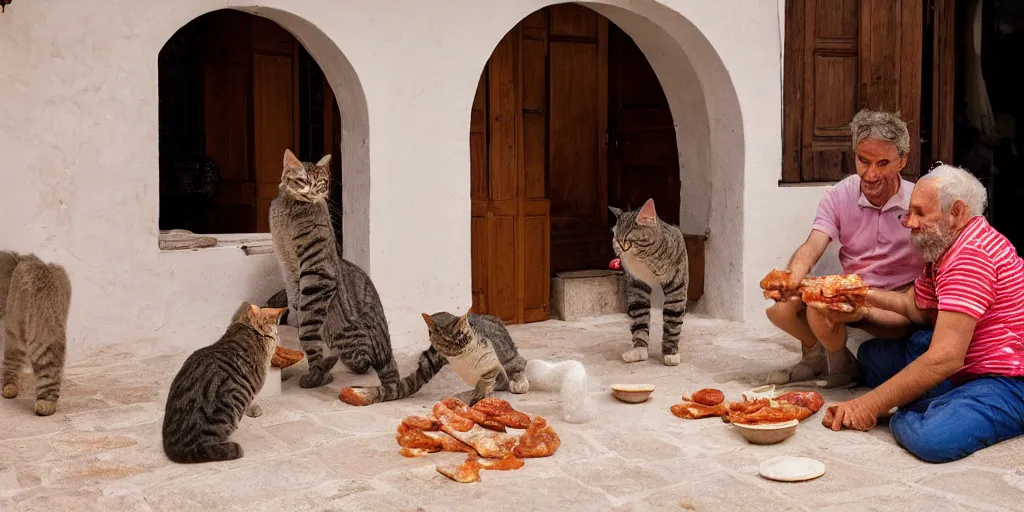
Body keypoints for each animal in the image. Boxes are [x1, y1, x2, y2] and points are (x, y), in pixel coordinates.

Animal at [268, 148, 444, 403]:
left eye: (321, 183)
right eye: (303, 181)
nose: (313, 193)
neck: (289, 207)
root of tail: (386, 348)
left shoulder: (317, 273)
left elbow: (308, 330)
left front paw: (314, 373)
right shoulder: (291, 275)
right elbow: (295, 307)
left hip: (346, 340)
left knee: (357, 361)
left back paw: (324, 372)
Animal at [606, 197, 688, 366]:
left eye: (629, 241)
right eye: (616, 240)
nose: (621, 250)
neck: (648, 261)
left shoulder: (677, 287)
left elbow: (673, 319)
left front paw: (670, 354)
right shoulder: (636, 285)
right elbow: (639, 318)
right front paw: (639, 351)